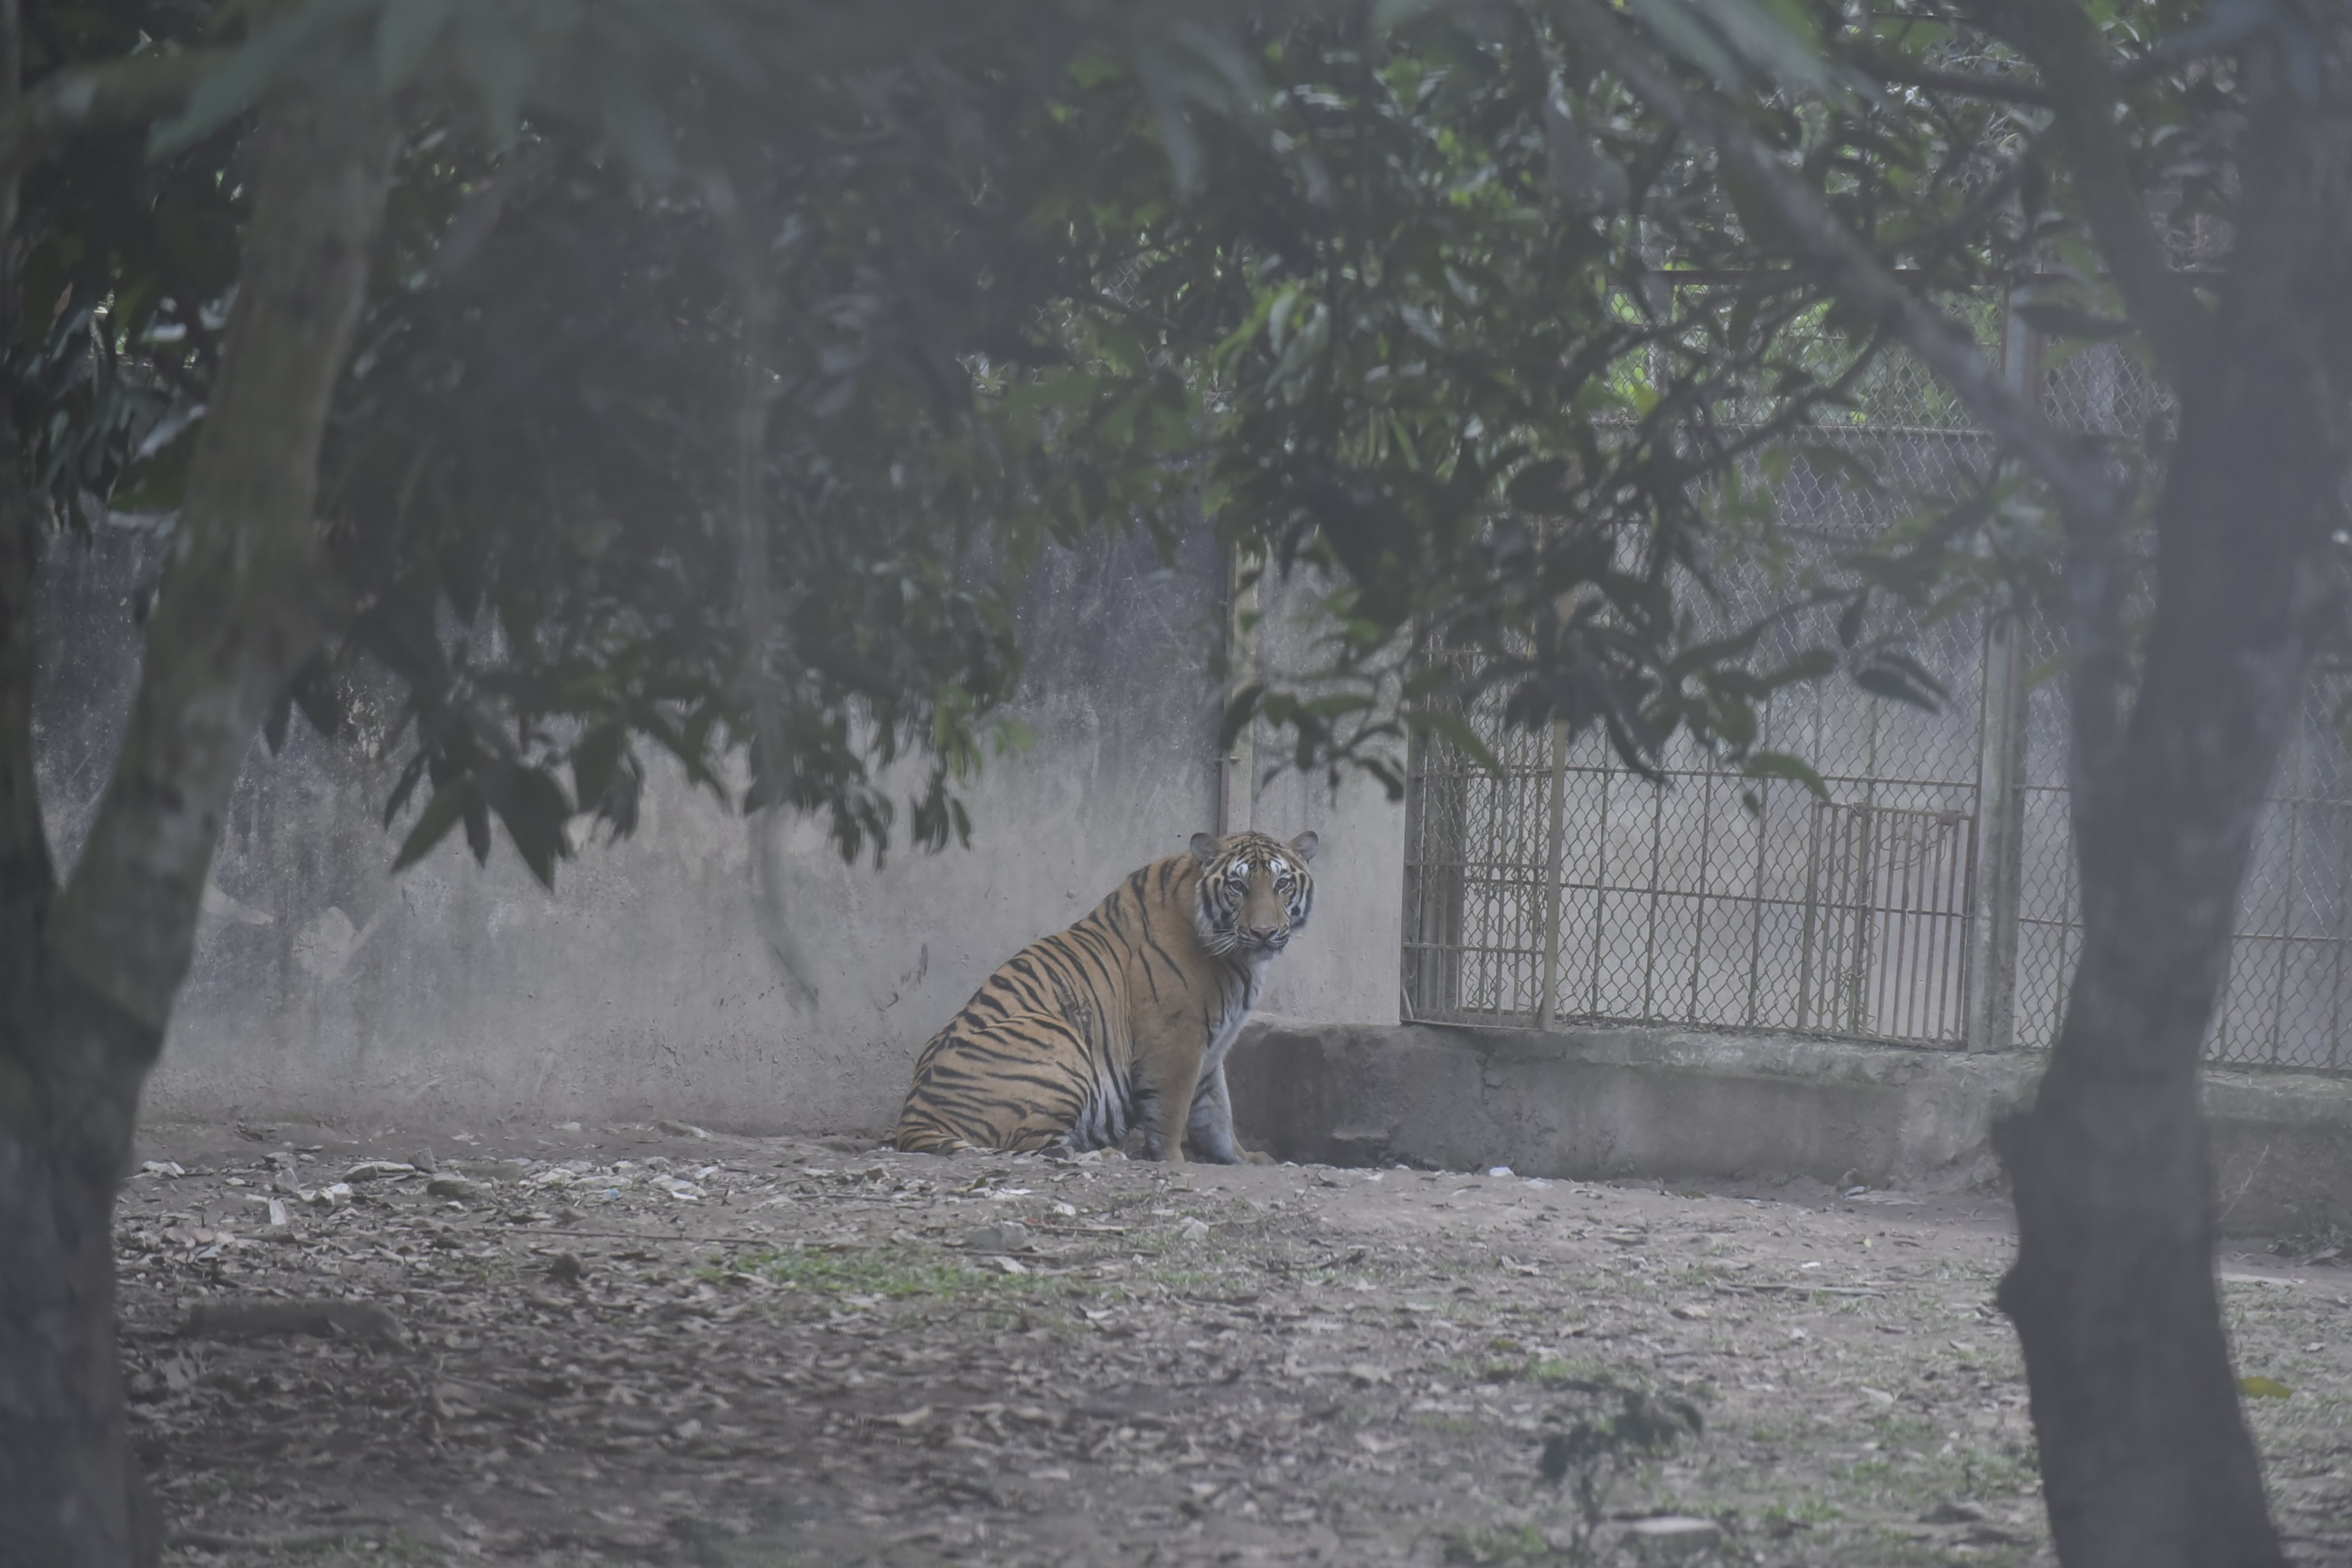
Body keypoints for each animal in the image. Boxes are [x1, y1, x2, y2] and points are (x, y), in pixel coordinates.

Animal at [884, 832, 1317, 1166]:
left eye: (1282, 884)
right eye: (1237, 887)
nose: (1264, 933)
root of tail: (913, 1119)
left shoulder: (1213, 1049)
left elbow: (1217, 1115)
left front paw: (1245, 1159)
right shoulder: (1175, 1040)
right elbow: (1174, 1111)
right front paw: (1172, 1161)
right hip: (1059, 1037)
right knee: (1033, 1146)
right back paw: (1104, 1155)